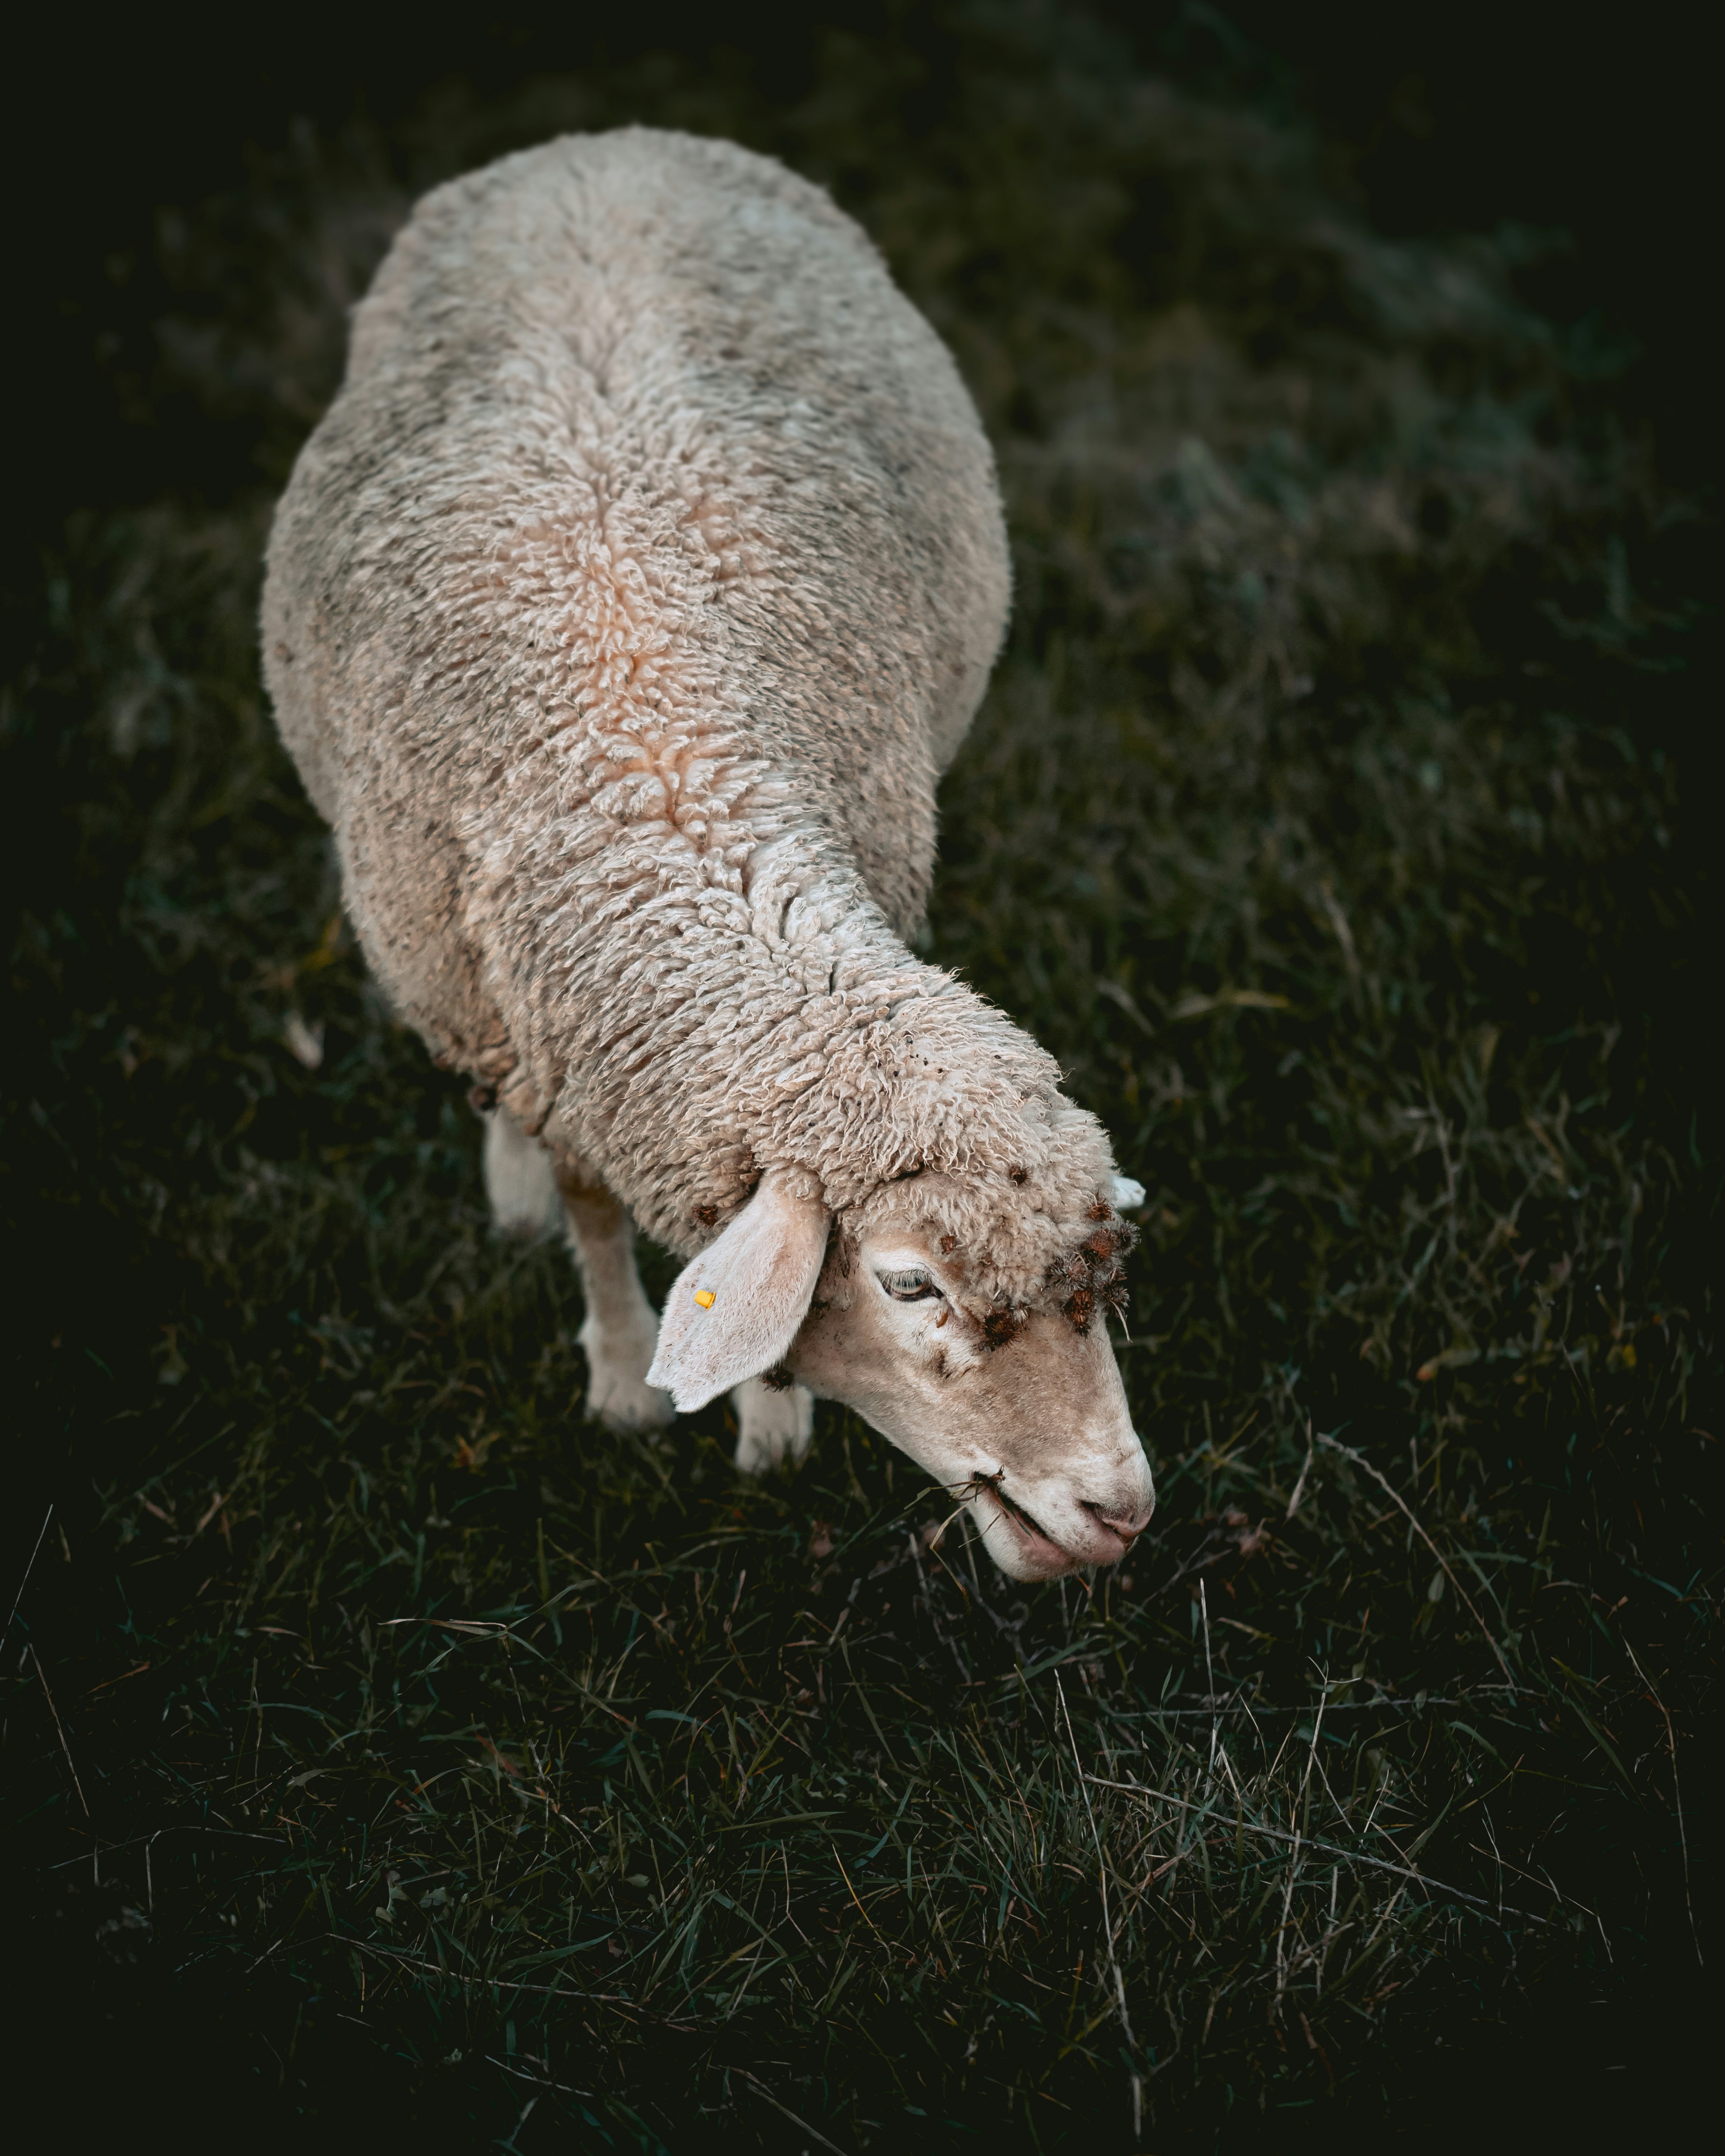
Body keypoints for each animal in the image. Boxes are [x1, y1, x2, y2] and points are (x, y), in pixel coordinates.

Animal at [262, 126, 1155, 1581]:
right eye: (911, 1282)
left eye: (1101, 1270)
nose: (1119, 1512)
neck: (666, 769)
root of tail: (606, 143)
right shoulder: (548, 1031)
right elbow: (587, 1201)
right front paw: (628, 1380)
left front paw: (771, 1417)